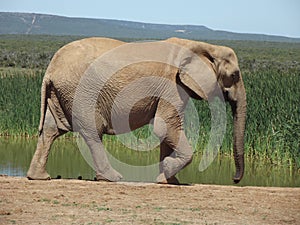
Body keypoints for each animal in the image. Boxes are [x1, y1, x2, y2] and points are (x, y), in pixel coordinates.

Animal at [27, 37, 246, 184]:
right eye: (234, 75)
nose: (234, 180)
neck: (204, 46)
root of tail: (51, 69)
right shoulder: (173, 85)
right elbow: (165, 126)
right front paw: (168, 169)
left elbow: (167, 130)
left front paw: (167, 180)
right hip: (81, 92)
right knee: (92, 132)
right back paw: (112, 178)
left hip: (61, 92)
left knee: (50, 130)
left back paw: (39, 177)